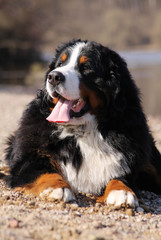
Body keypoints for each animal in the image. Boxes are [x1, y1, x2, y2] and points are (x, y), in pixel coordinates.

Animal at [4, 39, 161, 208]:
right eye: (60, 64)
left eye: (86, 67)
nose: (53, 77)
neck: (82, 130)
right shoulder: (29, 156)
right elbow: (45, 171)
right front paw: (57, 188)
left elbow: (120, 177)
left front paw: (122, 191)